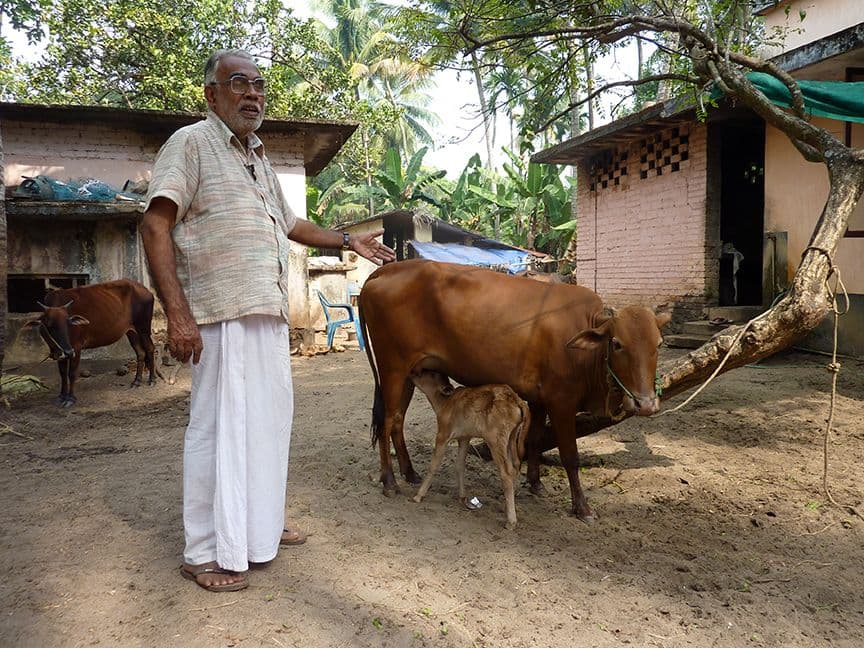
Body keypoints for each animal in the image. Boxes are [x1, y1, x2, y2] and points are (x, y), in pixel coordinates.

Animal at [26, 279, 161, 407]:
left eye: (68, 323)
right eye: (50, 325)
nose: (68, 352)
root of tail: (147, 291)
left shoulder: (76, 347)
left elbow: (71, 373)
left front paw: (70, 399)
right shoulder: (61, 352)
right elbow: (63, 374)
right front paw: (61, 396)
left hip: (143, 328)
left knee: (150, 348)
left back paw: (152, 380)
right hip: (131, 332)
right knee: (140, 352)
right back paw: (136, 381)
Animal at [410, 369, 530, 529]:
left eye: (432, 374)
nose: (413, 372)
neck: (445, 402)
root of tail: (517, 400)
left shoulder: (443, 434)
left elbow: (434, 465)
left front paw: (418, 495)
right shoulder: (464, 438)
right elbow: (460, 465)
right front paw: (462, 498)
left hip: (496, 440)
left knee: (507, 472)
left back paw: (511, 521)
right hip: (512, 437)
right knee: (516, 465)